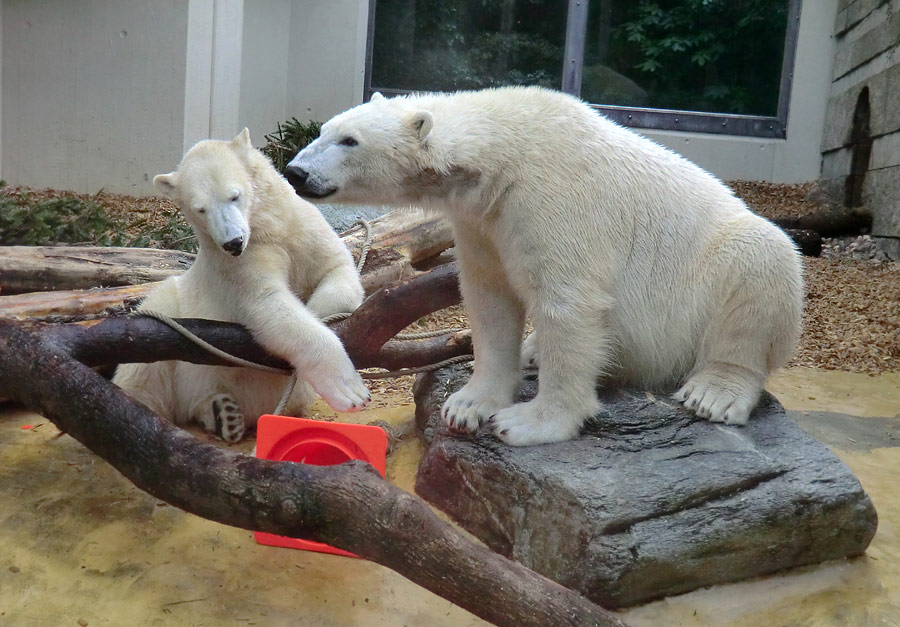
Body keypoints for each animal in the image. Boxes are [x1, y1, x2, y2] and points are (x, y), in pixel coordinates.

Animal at [116, 127, 370, 442]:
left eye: (234, 196)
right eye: (201, 209)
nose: (233, 242)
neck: (265, 226)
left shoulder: (300, 226)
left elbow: (337, 268)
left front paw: (316, 308)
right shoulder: (237, 263)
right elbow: (267, 301)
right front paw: (352, 392)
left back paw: (222, 415)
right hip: (173, 306)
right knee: (145, 370)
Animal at [284, 86, 800, 446]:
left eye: (349, 140)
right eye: (324, 130)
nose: (295, 172)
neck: (500, 155)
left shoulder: (552, 198)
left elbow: (568, 304)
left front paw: (529, 423)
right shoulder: (482, 220)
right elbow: (491, 301)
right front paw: (468, 404)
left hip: (715, 271)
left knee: (760, 266)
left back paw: (714, 392)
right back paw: (533, 351)